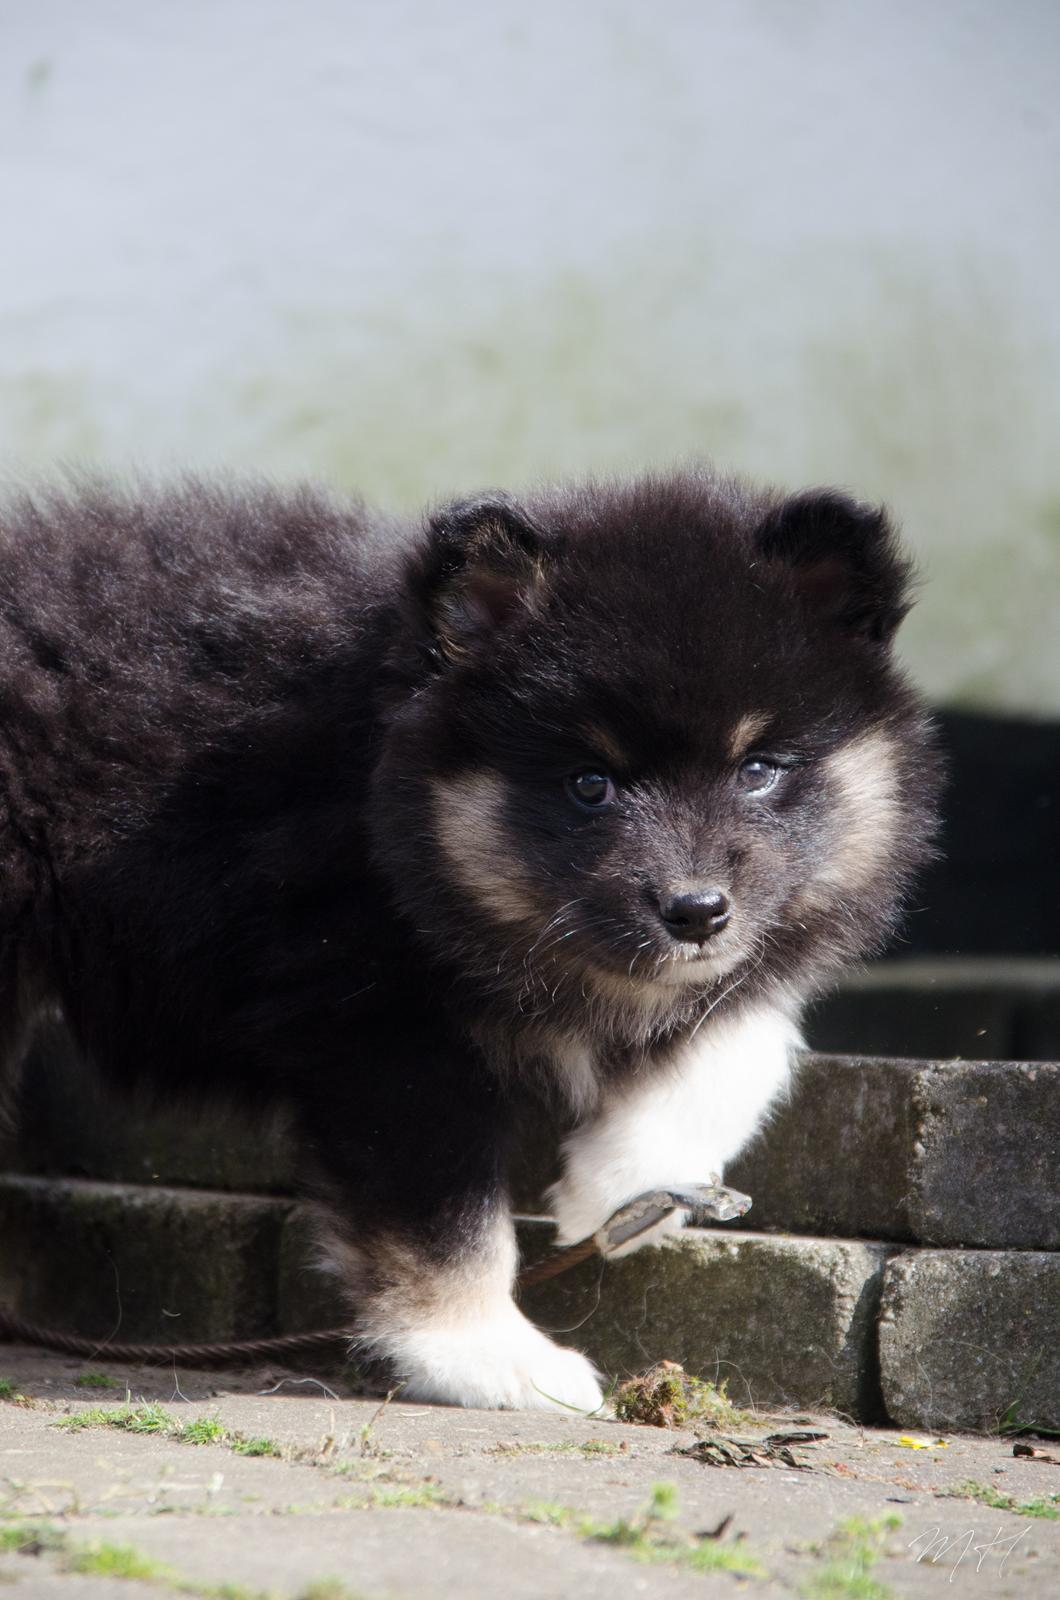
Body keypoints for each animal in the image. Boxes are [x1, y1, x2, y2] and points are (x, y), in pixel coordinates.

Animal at [0, 467, 941, 1408]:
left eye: (757, 770)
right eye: (589, 784)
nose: (697, 909)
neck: (384, 800)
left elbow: (747, 1028)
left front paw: (627, 1182)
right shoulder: (380, 1029)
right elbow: (446, 1214)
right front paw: (491, 1356)